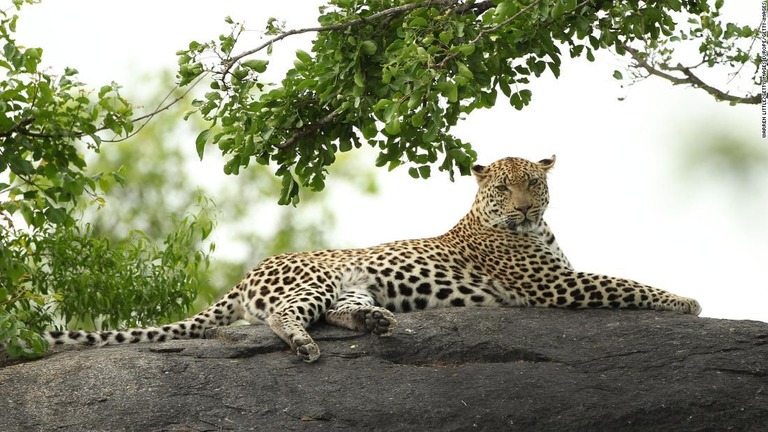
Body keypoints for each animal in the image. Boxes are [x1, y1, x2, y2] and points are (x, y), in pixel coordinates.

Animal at [43, 155, 704, 362]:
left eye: (534, 187)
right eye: (503, 189)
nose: (521, 210)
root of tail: (250, 271)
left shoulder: (559, 277)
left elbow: (618, 277)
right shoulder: (554, 286)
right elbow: (623, 282)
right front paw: (685, 300)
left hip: (355, 284)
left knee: (340, 312)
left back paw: (377, 322)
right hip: (312, 281)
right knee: (285, 317)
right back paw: (305, 345)